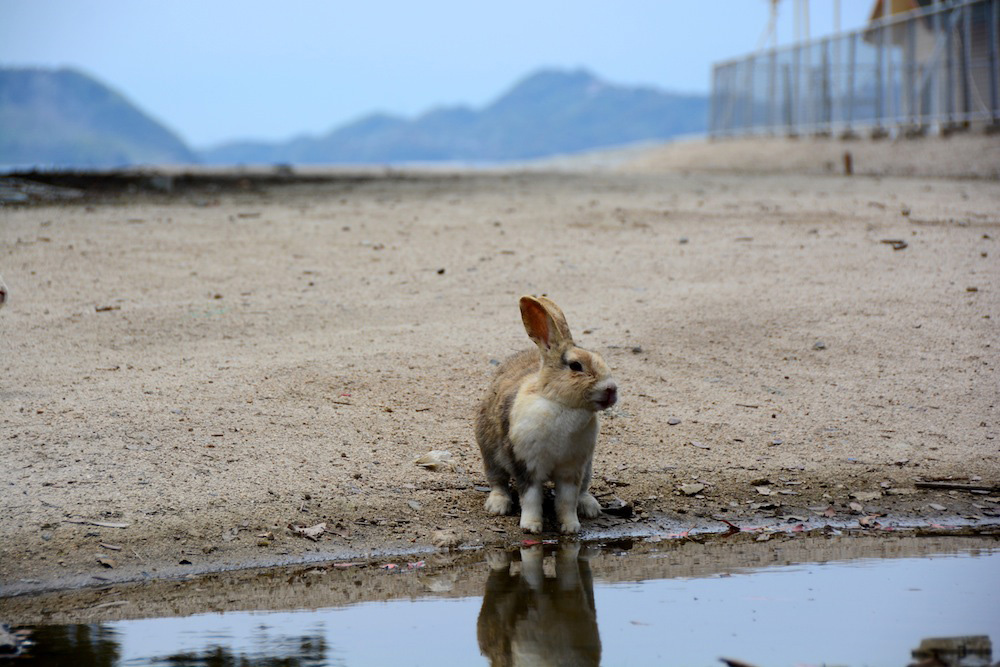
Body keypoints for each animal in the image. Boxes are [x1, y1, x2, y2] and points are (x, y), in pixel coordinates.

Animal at [476, 294, 616, 536]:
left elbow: (567, 501)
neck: (561, 403)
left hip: (588, 467)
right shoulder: (525, 464)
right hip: (491, 454)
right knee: (498, 481)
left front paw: (571, 528)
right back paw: (498, 505)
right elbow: (531, 498)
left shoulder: (572, 469)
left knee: (582, 491)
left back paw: (590, 507)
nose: (611, 389)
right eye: (576, 365)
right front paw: (531, 527)